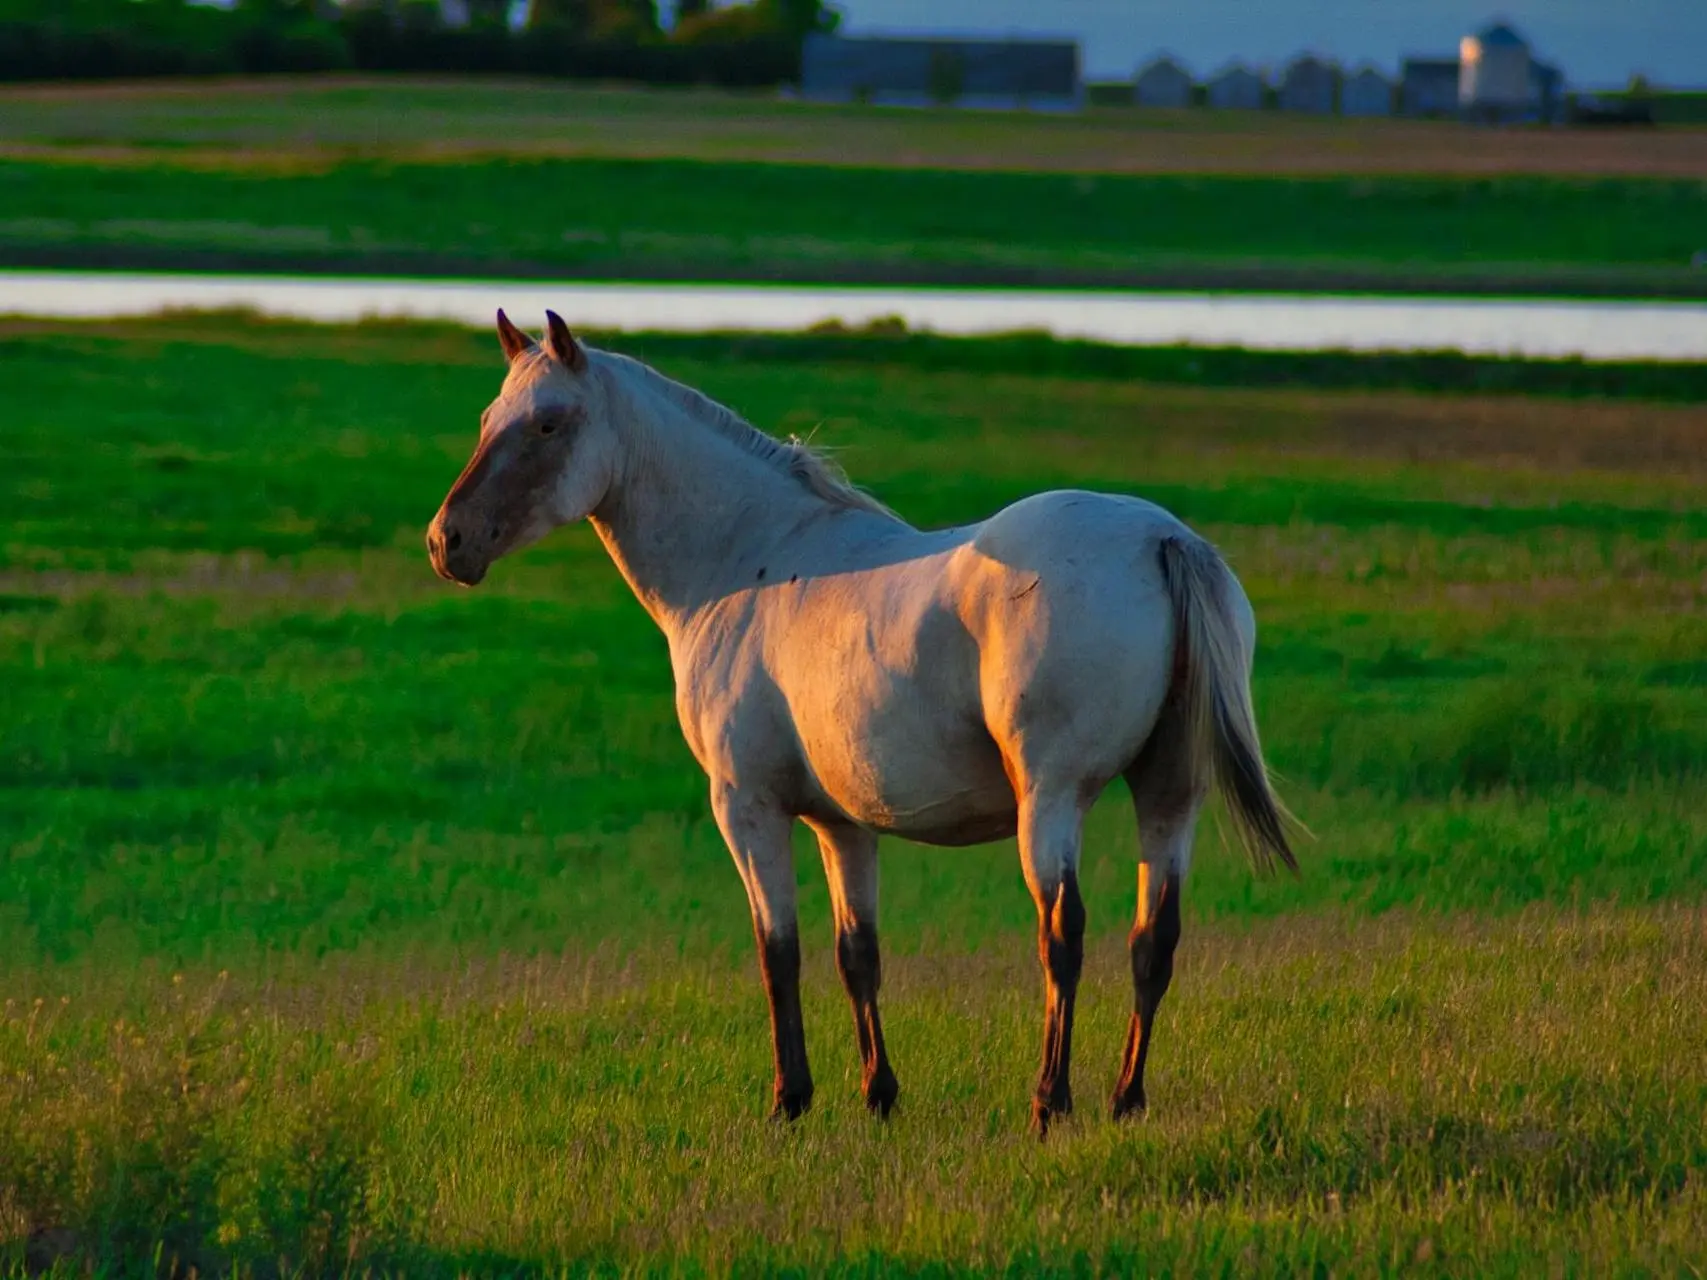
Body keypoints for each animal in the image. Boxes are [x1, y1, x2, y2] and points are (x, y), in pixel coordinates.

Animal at [430, 310, 1290, 1133]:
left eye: (548, 423)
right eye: (488, 417)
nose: (447, 542)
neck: (744, 563)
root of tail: (1159, 538)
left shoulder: (746, 808)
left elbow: (777, 951)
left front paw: (789, 1100)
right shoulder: (841, 825)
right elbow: (857, 954)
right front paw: (879, 1096)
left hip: (1050, 801)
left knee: (1062, 935)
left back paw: (1050, 1101)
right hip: (1168, 794)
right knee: (1154, 939)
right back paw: (1124, 1099)